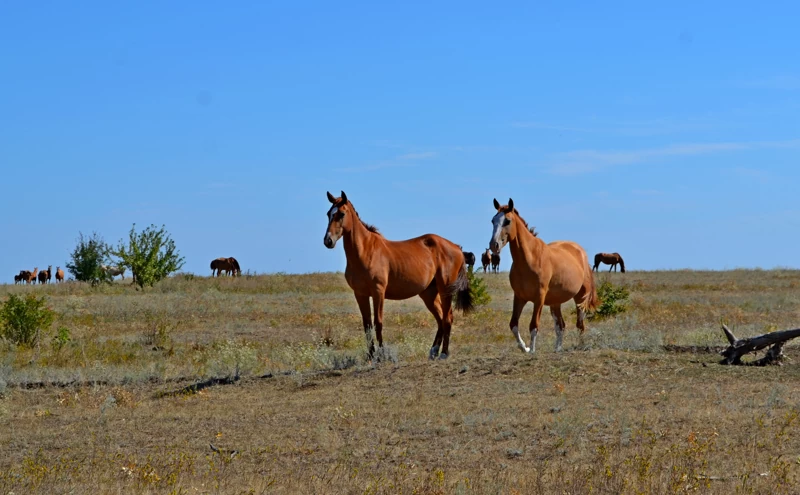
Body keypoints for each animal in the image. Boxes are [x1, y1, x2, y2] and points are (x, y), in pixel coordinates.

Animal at [324, 191, 476, 360]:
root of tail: (456, 247)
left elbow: (378, 322)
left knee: (448, 318)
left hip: (445, 290)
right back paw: (433, 351)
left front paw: (381, 356)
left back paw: (443, 353)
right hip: (429, 293)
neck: (365, 251)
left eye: (341, 214)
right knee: (441, 319)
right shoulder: (360, 294)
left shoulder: (378, 292)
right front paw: (370, 355)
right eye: (328, 214)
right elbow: (367, 325)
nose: (328, 241)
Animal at [490, 200, 596, 354]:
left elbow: (534, 325)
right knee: (561, 326)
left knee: (580, 325)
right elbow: (513, 324)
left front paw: (532, 350)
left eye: (507, 221)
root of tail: (580, 251)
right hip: (555, 302)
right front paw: (525, 348)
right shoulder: (519, 297)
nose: (494, 245)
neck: (530, 258)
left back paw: (580, 346)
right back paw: (557, 349)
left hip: (580, 298)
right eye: (493, 220)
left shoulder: (539, 298)